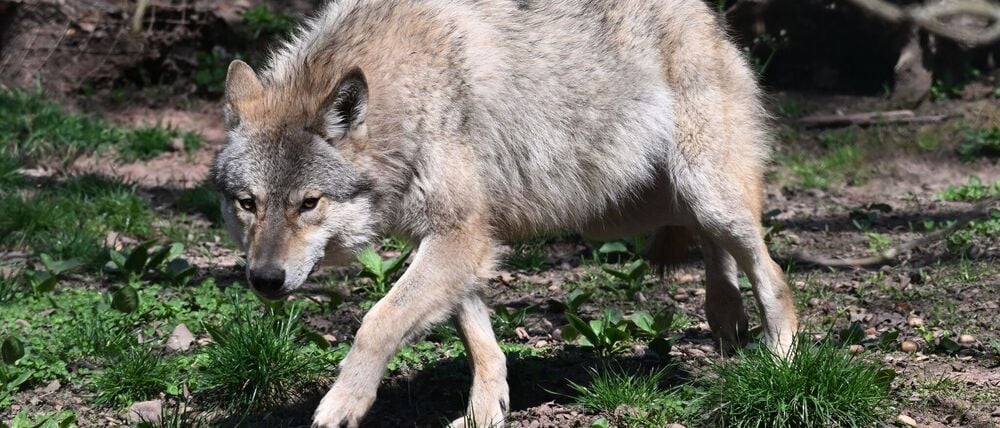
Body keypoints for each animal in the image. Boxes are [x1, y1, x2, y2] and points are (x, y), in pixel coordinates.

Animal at [211, 0, 799, 426]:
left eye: (309, 203)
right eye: (248, 203)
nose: (264, 279)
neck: (408, 96)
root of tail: (706, 15)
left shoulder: (461, 237)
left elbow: (378, 322)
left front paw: (341, 404)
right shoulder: (457, 242)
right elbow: (480, 343)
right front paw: (484, 412)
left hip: (702, 194)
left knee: (771, 271)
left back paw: (780, 360)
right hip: (628, 209)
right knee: (713, 245)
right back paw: (725, 317)